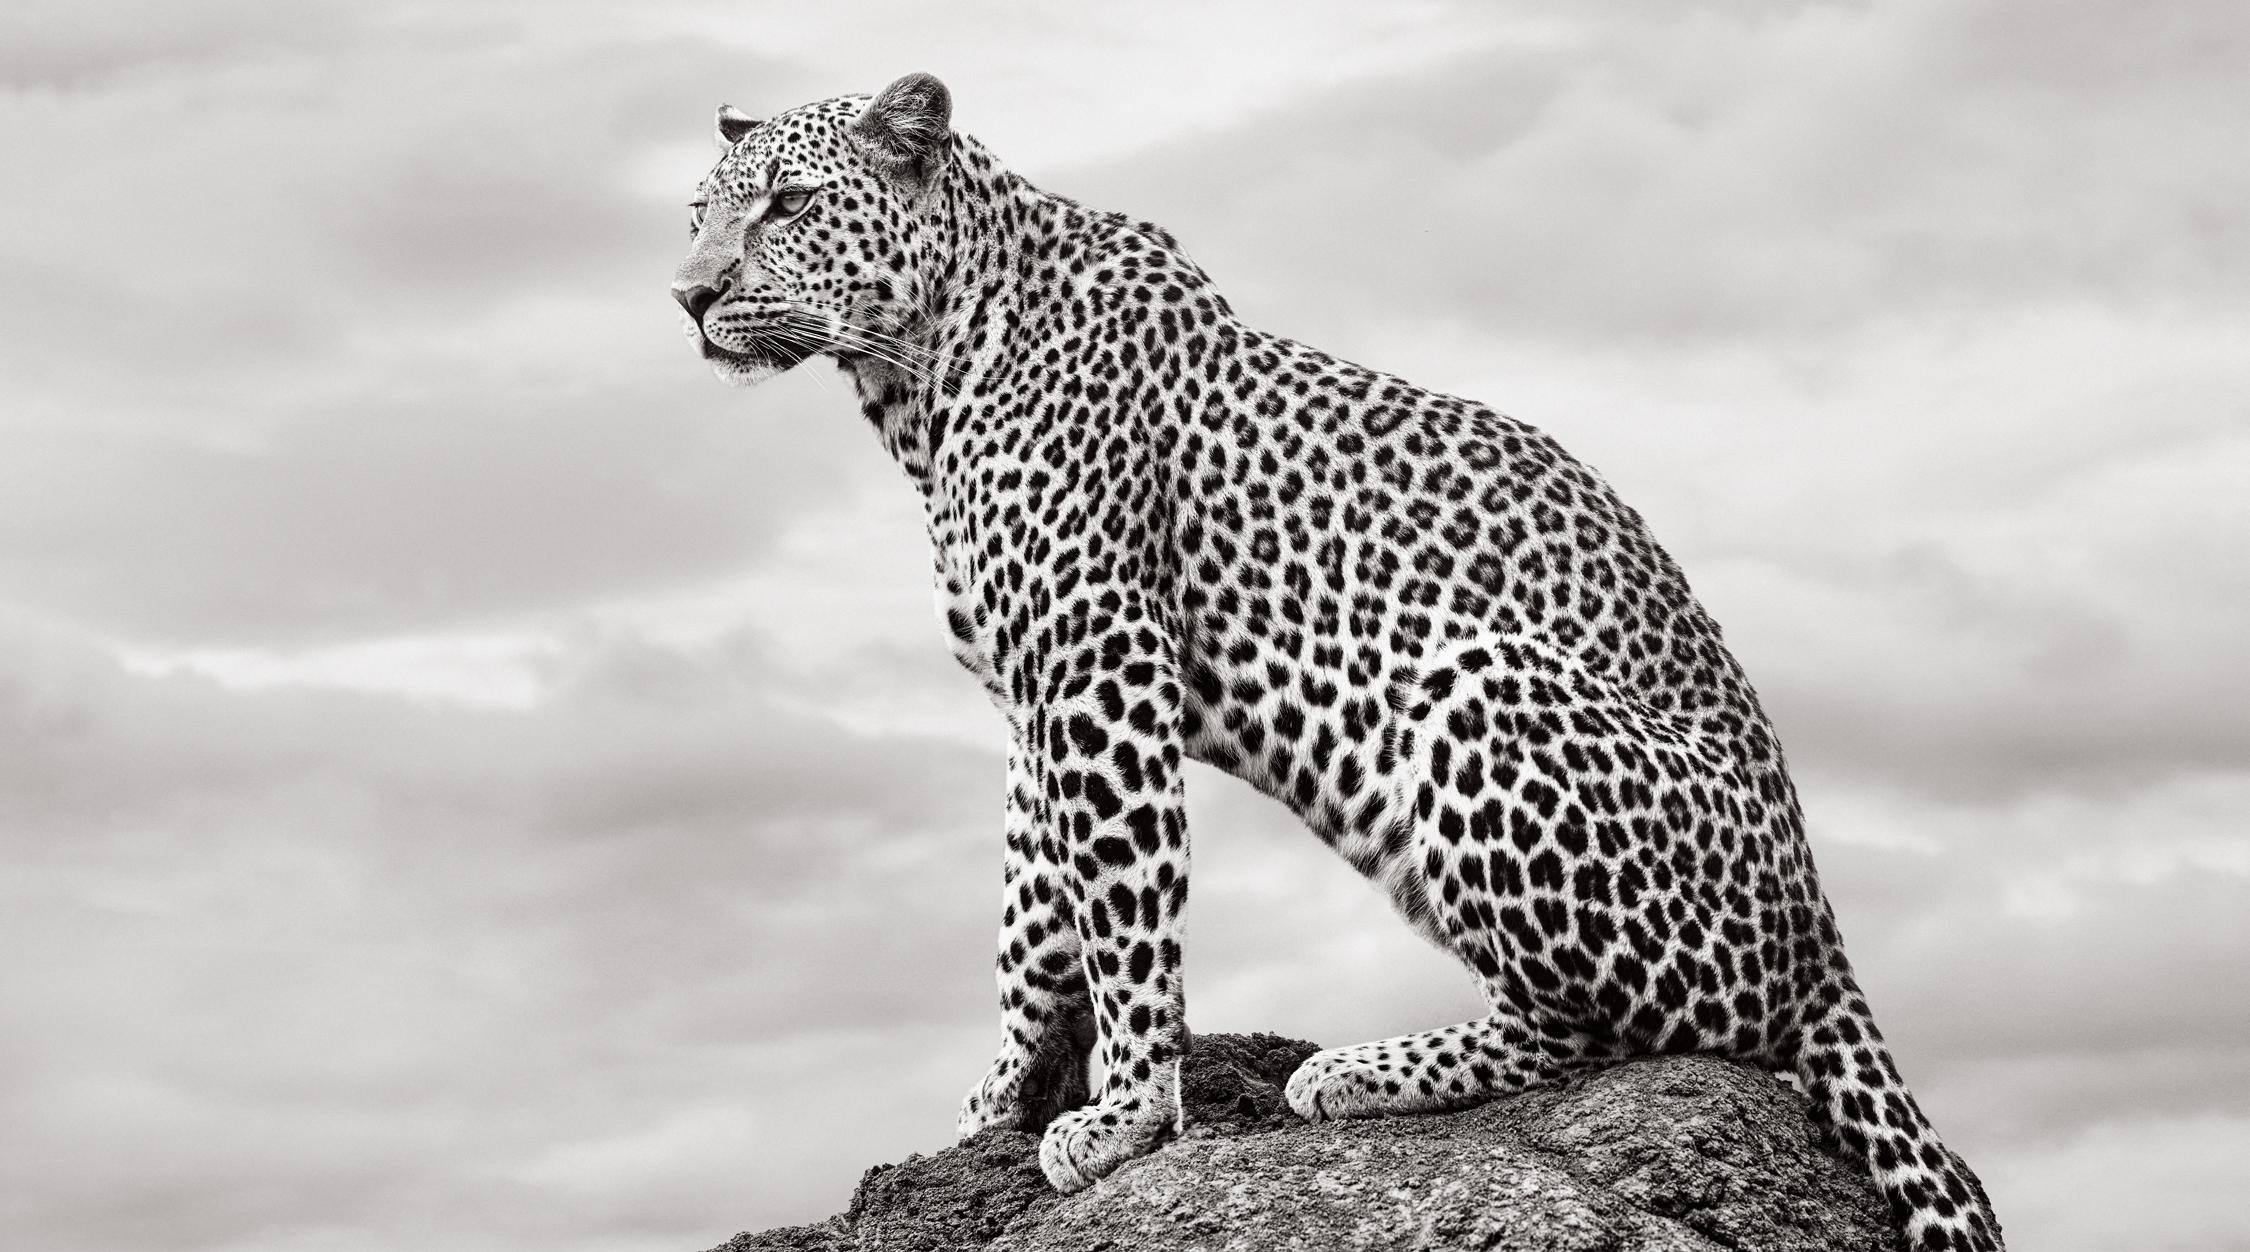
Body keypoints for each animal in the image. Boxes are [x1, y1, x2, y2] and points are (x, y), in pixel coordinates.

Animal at [666, 73, 2007, 1242]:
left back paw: (1360, 1068)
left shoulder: (1104, 664)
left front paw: (1126, 1114)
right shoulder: (1032, 695)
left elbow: (1123, 904)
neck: (921, 373)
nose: (684, 295)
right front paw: (997, 1098)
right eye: (696, 213)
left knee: (1622, 1027)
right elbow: (1031, 910)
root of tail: (1824, 927)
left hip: (1481, 689)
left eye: (787, 204)